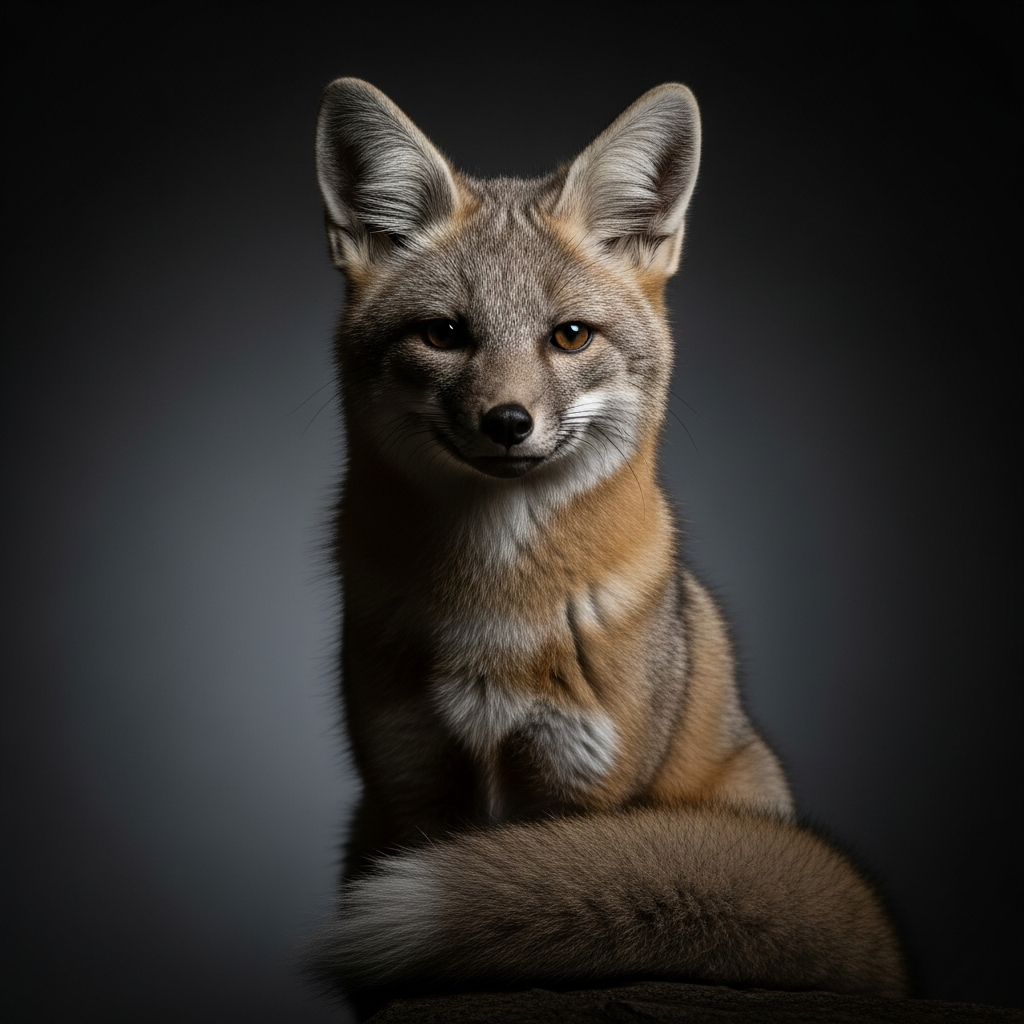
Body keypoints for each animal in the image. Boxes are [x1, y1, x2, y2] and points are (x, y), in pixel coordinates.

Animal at [304, 78, 908, 1005]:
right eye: (444, 335)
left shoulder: (584, 790)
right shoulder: (408, 781)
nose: (507, 422)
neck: (495, 612)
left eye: (571, 336)